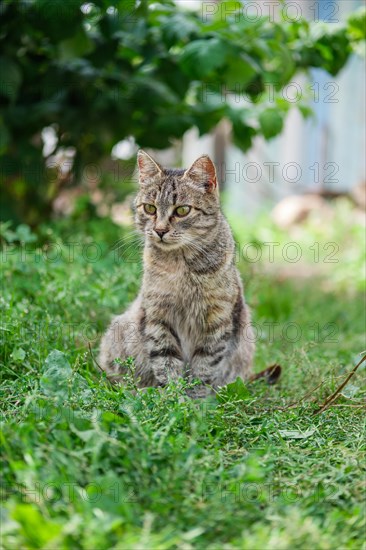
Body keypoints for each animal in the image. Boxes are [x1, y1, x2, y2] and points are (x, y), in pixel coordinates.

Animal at [100, 151, 254, 398]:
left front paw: (196, 399)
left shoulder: (218, 320)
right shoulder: (158, 316)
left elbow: (205, 365)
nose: (160, 230)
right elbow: (166, 360)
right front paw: (173, 397)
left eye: (182, 210)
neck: (181, 266)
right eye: (150, 208)